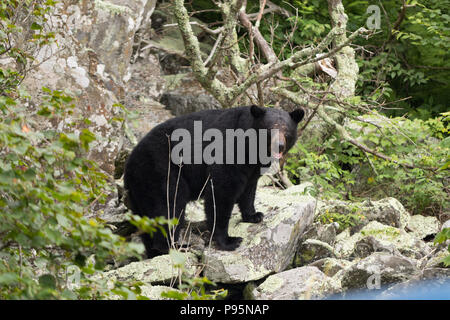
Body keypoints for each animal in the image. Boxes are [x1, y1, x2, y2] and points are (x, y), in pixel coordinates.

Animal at [125, 105, 304, 258]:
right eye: (269, 129)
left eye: (286, 130)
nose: (279, 146)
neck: (250, 148)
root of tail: (129, 164)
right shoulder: (227, 153)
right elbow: (221, 193)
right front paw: (229, 240)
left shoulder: (252, 168)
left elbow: (249, 189)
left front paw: (254, 215)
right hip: (161, 171)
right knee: (170, 206)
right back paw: (176, 246)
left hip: (139, 191)